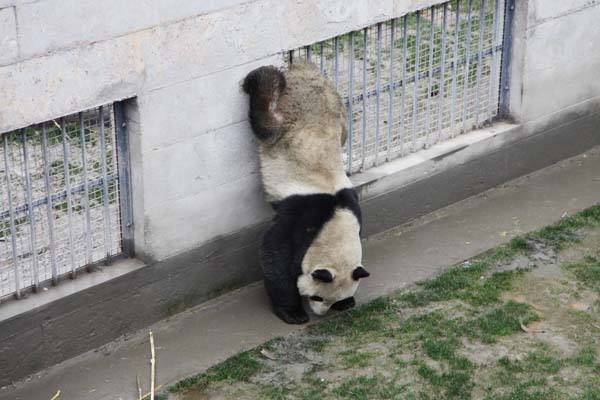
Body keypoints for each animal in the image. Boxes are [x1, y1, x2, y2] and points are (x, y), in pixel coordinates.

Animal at [244, 63, 370, 324]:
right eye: (317, 297)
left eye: (333, 299)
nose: (320, 313)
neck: (336, 219)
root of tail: (303, 71)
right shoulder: (302, 212)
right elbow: (275, 255)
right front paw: (293, 313)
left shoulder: (352, 206)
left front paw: (348, 303)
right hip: (287, 118)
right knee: (267, 121)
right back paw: (263, 77)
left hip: (336, 106)